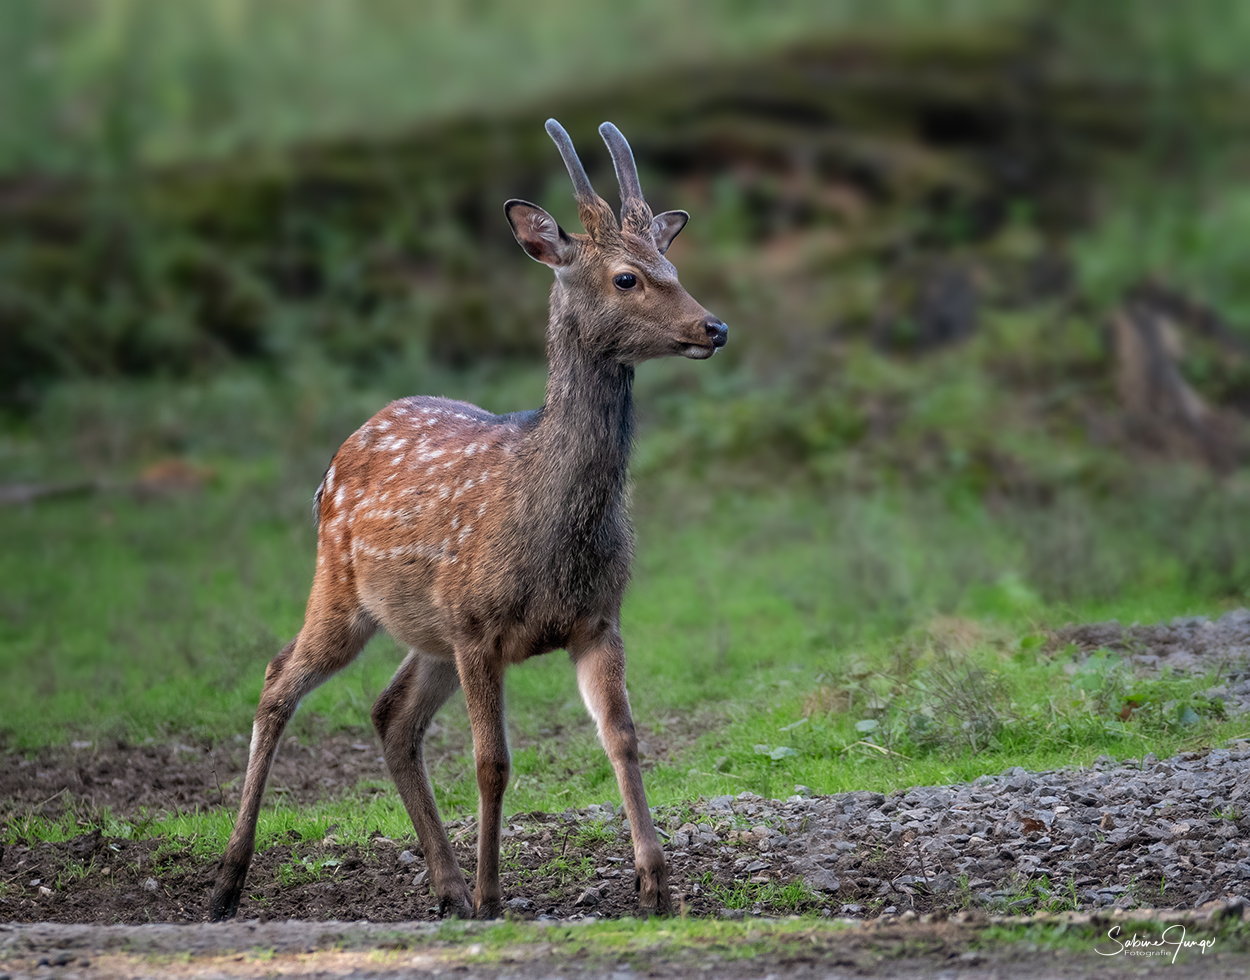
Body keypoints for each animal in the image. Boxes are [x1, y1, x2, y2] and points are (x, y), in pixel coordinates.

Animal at [210, 118, 730, 925]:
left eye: (669, 261)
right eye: (626, 277)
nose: (714, 326)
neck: (553, 528)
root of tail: (345, 447)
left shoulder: (597, 619)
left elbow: (623, 738)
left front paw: (656, 885)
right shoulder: (480, 628)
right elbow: (493, 763)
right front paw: (494, 895)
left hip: (430, 631)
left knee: (390, 714)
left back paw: (445, 883)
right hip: (343, 587)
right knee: (277, 680)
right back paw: (230, 882)